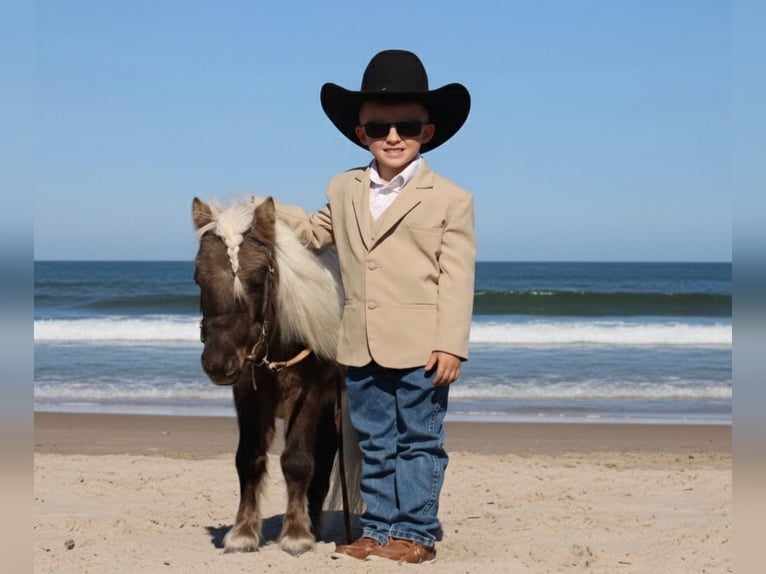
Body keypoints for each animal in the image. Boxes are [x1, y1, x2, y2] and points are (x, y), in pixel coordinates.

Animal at [192, 195, 359, 555]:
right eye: (198, 278)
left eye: (256, 281)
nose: (218, 363)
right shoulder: (248, 396)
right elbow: (248, 459)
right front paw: (243, 532)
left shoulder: (308, 396)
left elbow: (297, 461)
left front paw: (296, 534)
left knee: (323, 458)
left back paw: (312, 524)